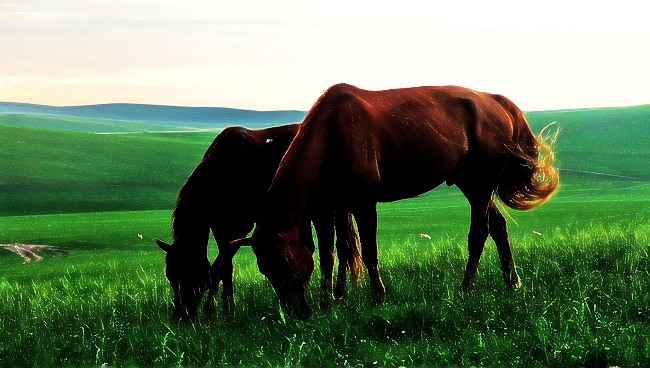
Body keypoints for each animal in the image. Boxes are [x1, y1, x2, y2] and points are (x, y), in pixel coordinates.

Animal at [154, 123, 362, 316]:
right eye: (170, 275)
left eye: (187, 271)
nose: (180, 315)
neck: (220, 171)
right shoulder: (222, 227)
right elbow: (226, 266)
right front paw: (227, 308)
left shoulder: (239, 227)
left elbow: (219, 265)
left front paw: (212, 308)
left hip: (331, 210)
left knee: (340, 248)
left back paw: (337, 294)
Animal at [232, 82, 556, 316]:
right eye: (265, 268)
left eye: (285, 262)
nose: (296, 312)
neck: (331, 136)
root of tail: (494, 100)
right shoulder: (327, 209)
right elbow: (331, 254)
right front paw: (331, 300)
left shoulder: (364, 205)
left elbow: (368, 252)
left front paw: (377, 297)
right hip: (471, 184)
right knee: (498, 226)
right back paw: (512, 282)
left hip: (479, 186)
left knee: (479, 233)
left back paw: (466, 287)